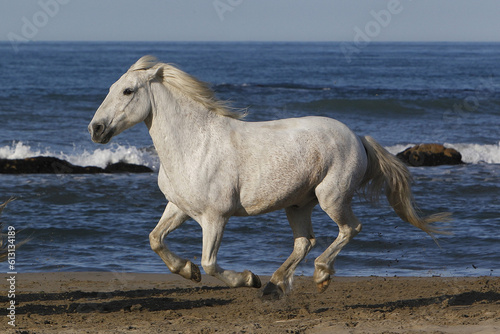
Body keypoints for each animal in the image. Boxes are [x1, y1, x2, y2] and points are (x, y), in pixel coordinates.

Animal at [89, 55, 450, 298]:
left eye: (127, 91)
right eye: (111, 88)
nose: (96, 129)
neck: (194, 145)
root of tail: (357, 137)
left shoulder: (215, 217)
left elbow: (210, 263)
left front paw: (248, 278)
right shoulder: (178, 208)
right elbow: (155, 240)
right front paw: (187, 271)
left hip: (331, 197)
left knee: (350, 229)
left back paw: (319, 275)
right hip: (298, 204)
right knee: (304, 241)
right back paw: (275, 285)